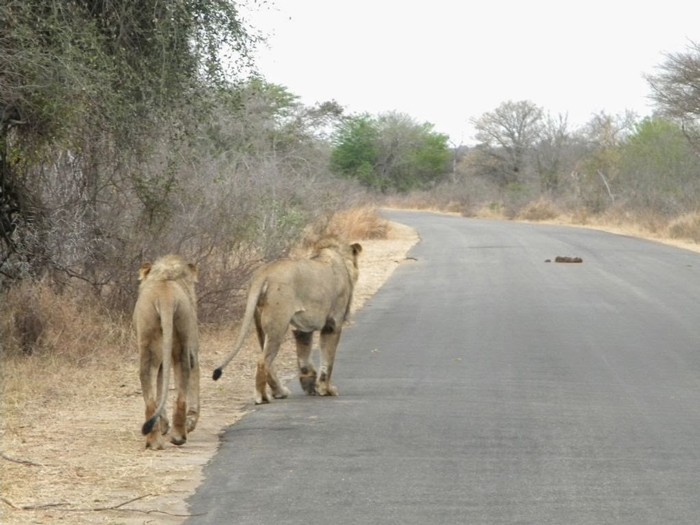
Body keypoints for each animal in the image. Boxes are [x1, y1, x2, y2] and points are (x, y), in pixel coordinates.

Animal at [133, 256, 201, 448]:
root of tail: (165, 298)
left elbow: (159, 385)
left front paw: (163, 425)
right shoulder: (193, 349)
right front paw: (191, 422)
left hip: (149, 340)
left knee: (150, 395)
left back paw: (154, 441)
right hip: (182, 342)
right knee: (181, 391)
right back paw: (179, 436)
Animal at [215, 237, 364, 406]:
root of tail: (265, 271)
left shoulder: (303, 329)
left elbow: (304, 359)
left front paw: (310, 386)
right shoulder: (332, 324)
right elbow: (328, 360)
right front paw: (326, 389)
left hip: (260, 322)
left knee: (269, 362)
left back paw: (280, 392)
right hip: (278, 323)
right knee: (262, 361)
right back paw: (262, 397)